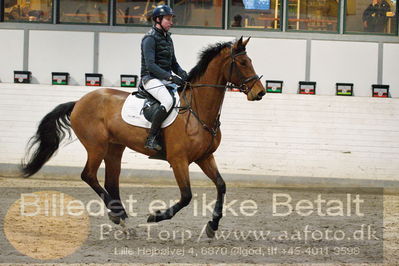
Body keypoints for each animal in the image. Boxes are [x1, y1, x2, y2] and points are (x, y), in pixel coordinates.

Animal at [21, 36, 266, 238]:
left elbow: (221, 186)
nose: (260, 92)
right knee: (88, 175)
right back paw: (118, 215)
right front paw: (156, 216)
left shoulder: (205, 157)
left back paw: (122, 220)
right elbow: (186, 196)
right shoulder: (179, 160)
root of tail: (79, 102)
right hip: (96, 147)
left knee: (111, 182)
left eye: (250, 61)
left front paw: (212, 226)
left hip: (114, 149)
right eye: (243, 63)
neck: (198, 110)